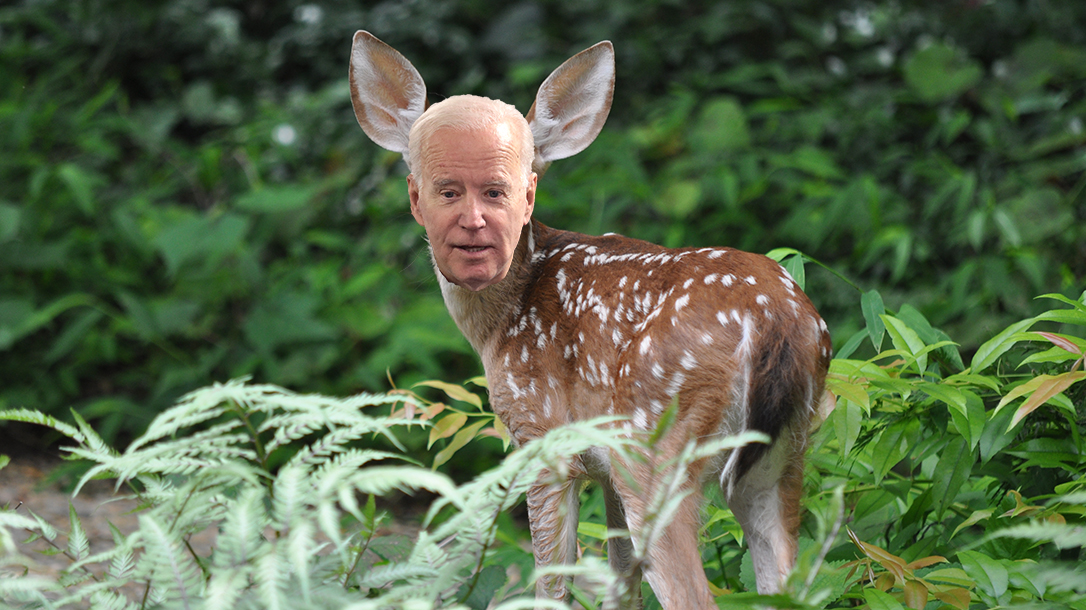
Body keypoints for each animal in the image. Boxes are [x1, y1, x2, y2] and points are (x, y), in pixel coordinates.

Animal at [348, 30, 833, 609]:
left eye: (501, 187)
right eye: (445, 187)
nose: (473, 227)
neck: (502, 320)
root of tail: (776, 322)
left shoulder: (542, 437)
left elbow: (553, 581)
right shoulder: (602, 468)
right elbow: (621, 580)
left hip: (657, 443)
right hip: (783, 454)